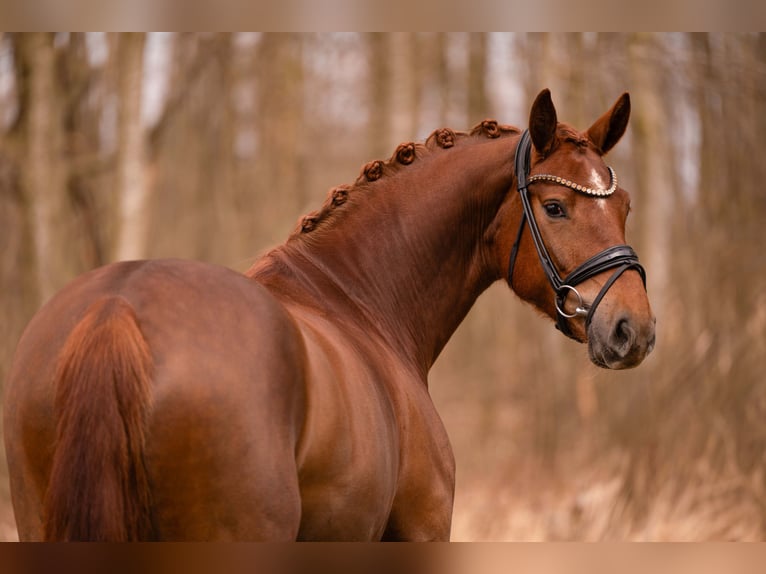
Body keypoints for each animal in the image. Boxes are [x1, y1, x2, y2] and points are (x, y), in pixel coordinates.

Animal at [3, 89, 655, 541]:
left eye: (623, 204)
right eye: (555, 207)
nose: (635, 330)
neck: (358, 300)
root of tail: (118, 310)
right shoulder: (421, 531)